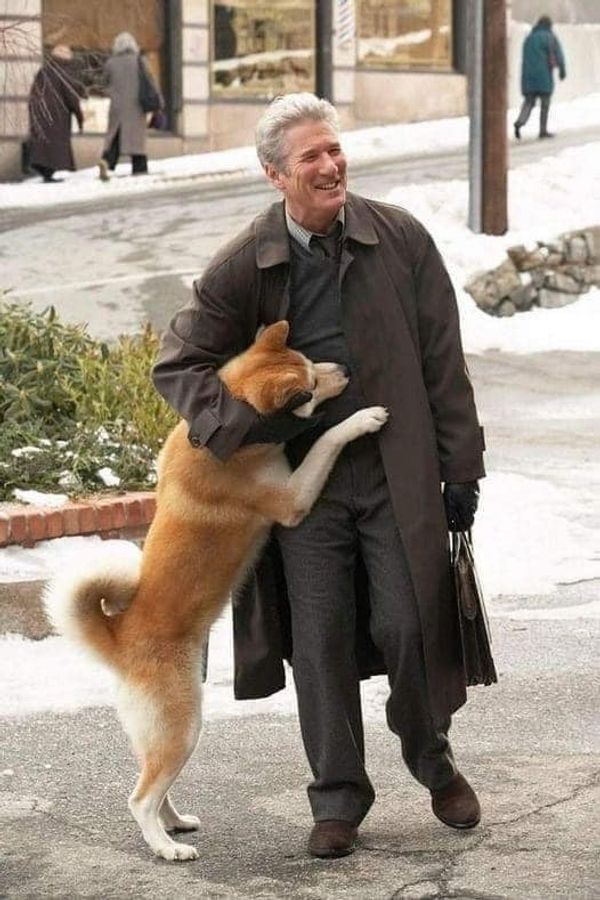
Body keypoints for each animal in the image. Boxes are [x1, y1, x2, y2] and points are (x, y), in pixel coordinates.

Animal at [43, 320, 390, 860]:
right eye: (312, 385)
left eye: (310, 359)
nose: (345, 369)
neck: (235, 433)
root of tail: (119, 639)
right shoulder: (292, 500)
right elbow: (326, 440)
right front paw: (362, 419)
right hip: (183, 727)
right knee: (139, 798)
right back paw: (165, 847)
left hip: (161, 735)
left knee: (154, 785)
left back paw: (175, 823)